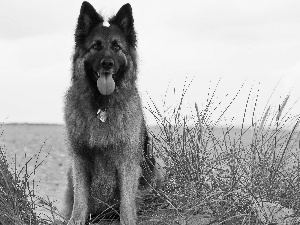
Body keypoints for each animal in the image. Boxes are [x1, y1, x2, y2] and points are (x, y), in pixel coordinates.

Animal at [62, 1, 164, 225]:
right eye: (96, 46)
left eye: (117, 47)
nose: (107, 63)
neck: (102, 106)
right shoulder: (79, 160)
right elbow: (80, 200)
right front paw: (76, 220)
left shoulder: (127, 161)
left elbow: (127, 201)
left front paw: (127, 220)